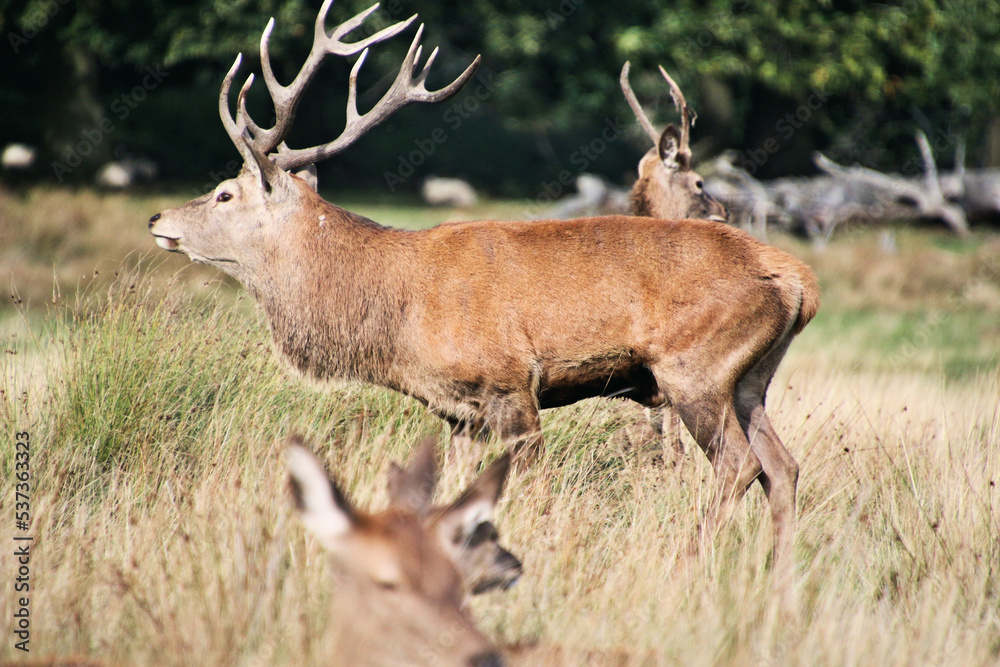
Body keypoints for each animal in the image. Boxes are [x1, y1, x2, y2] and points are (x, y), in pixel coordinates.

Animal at [148, 0, 819, 569]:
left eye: (224, 193)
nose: (157, 219)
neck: (395, 314)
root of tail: (800, 281)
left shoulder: (510, 384)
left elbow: (535, 488)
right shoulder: (458, 412)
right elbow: (452, 496)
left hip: (694, 366)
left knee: (739, 465)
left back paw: (692, 560)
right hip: (749, 380)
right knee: (782, 467)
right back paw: (780, 580)